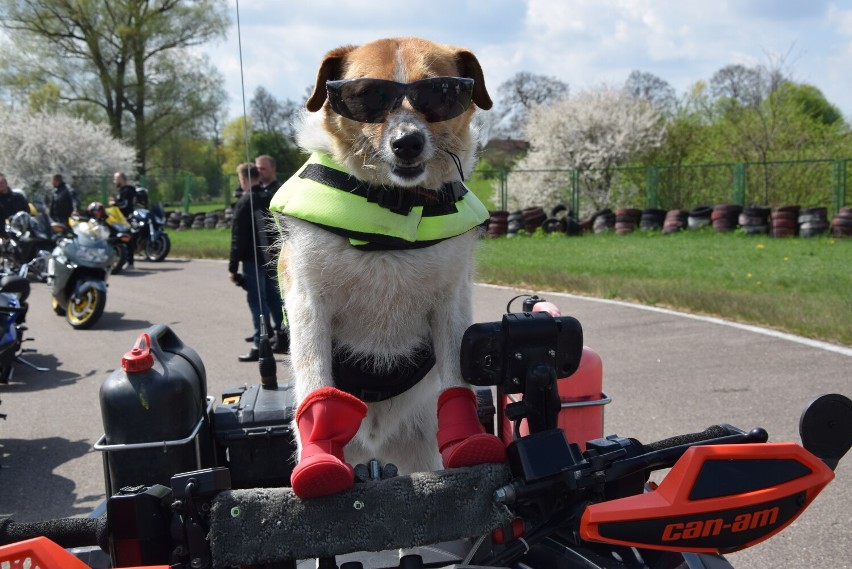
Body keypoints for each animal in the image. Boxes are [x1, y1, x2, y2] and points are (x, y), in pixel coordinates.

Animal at [272, 36, 506, 496]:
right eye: (367, 95)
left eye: (441, 92)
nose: (407, 142)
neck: (390, 207)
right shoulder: (308, 306)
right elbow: (316, 384)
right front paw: (318, 457)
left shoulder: (451, 308)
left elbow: (456, 382)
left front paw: (467, 440)